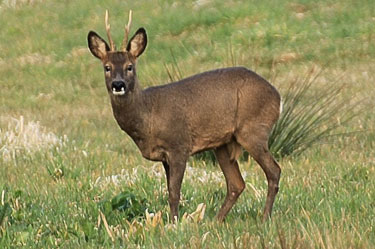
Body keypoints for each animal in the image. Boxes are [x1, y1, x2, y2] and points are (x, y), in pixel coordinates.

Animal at [87, 10, 282, 222]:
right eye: (107, 67)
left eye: (130, 66)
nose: (118, 84)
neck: (148, 116)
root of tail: (277, 97)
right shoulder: (165, 156)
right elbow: (169, 190)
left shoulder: (179, 145)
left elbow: (174, 192)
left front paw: (174, 222)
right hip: (223, 143)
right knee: (236, 184)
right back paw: (215, 221)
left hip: (253, 130)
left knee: (274, 171)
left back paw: (264, 218)